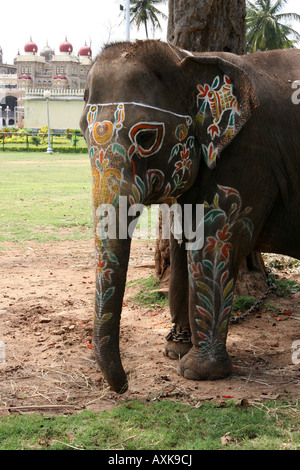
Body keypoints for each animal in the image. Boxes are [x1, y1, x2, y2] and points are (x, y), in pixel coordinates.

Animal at [79, 39, 300, 392]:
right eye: (83, 134)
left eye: (145, 138)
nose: (125, 386)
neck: (189, 58)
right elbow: (183, 243)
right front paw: (175, 350)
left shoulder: (247, 160)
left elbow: (212, 245)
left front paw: (196, 372)